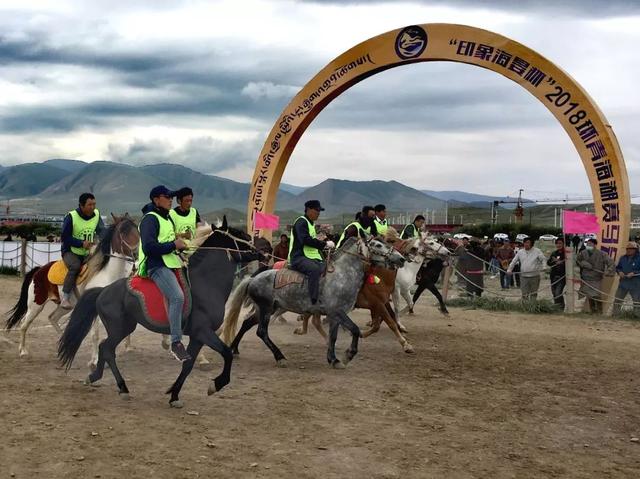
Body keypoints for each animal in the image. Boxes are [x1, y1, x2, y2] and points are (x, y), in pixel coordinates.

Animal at [57, 218, 262, 408]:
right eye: (239, 234)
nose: (262, 248)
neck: (206, 283)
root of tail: (103, 290)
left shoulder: (197, 336)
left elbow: (188, 365)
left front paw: (174, 394)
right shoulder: (204, 331)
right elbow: (227, 354)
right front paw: (216, 385)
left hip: (124, 327)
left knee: (105, 349)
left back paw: (96, 377)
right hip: (119, 329)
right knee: (106, 349)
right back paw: (120, 387)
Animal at [221, 235, 404, 368]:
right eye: (378, 245)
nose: (401, 259)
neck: (342, 275)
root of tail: (252, 279)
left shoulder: (335, 315)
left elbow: (333, 336)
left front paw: (333, 359)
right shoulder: (337, 311)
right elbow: (355, 330)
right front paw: (348, 355)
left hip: (267, 309)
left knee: (246, 323)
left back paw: (234, 350)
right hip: (266, 309)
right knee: (261, 332)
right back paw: (280, 357)